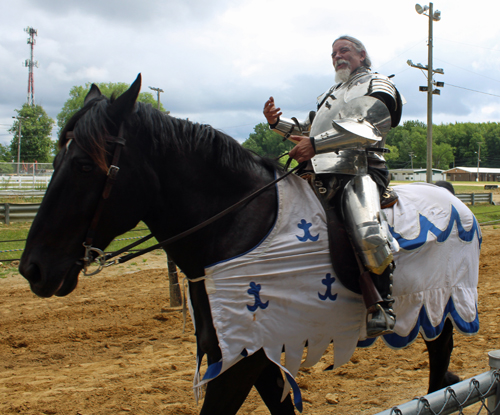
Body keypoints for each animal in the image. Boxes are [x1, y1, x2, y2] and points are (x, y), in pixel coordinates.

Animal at [20, 75, 480, 415]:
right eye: (55, 162)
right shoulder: (254, 353)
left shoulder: (240, 363)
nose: (33, 269)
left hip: (441, 305)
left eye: (84, 165)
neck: (234, 227)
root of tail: (453, 197)